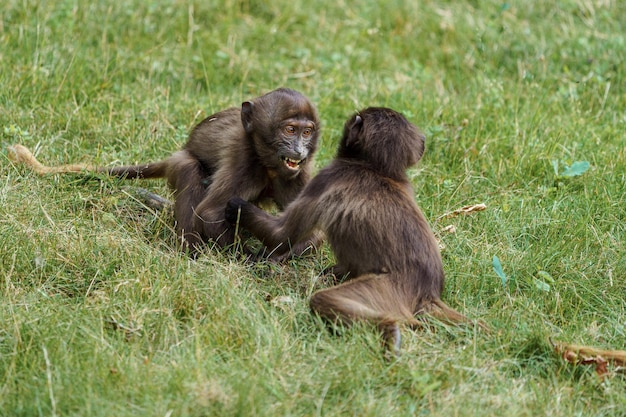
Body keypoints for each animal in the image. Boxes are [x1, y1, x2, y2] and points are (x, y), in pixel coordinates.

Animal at [8, 88, 322, 254]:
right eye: (289, 130)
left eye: (307, 132)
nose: (299, 150)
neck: (268, 165)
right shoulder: (244, 160)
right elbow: (209, 213)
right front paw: (244, 258)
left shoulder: (300, 174)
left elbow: (308, 232)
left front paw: (274, 255)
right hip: (182, 163)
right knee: (189, 168)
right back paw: (190, 251)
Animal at [227, 107, 486, 354]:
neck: (375, 168)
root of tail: (429, 291)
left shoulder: (328, 177)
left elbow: (281, 235)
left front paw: (236, 206)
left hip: (387, 290)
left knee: (323, 299)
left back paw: (389, 328)